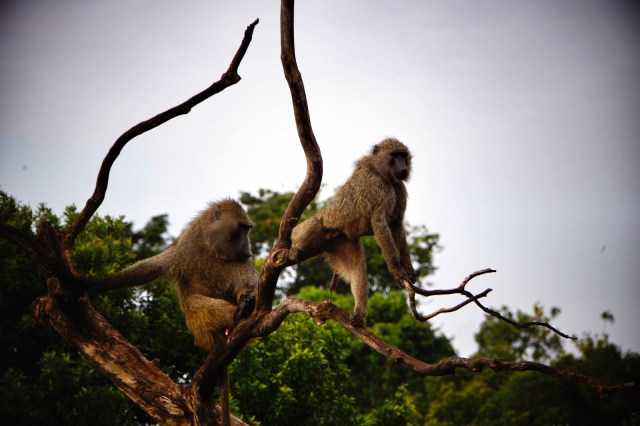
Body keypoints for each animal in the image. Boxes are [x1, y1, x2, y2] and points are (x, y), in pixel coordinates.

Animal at [96, 199, 258, 351]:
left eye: (247, 229)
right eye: (241, 229)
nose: (248, 250)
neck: (212, 248)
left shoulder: (241, 261)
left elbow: (248, 285)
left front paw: (247, 299)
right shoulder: (184, 249)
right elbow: (152, 268)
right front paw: (98, 284)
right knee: (192, 302)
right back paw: (236, 314)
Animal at [290, 137, 416, 327]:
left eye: (403, 155)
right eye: (395, 155)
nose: (403, 168)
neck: (383, 174)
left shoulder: (399, 188)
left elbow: (397, 226)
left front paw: (407, 267)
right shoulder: (377, 188)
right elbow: (380, 223)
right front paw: (396, 269)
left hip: (347, 242)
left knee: (358, 270)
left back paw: (359, 315)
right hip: (324, 225)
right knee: (306, 230)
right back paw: (294, 246)